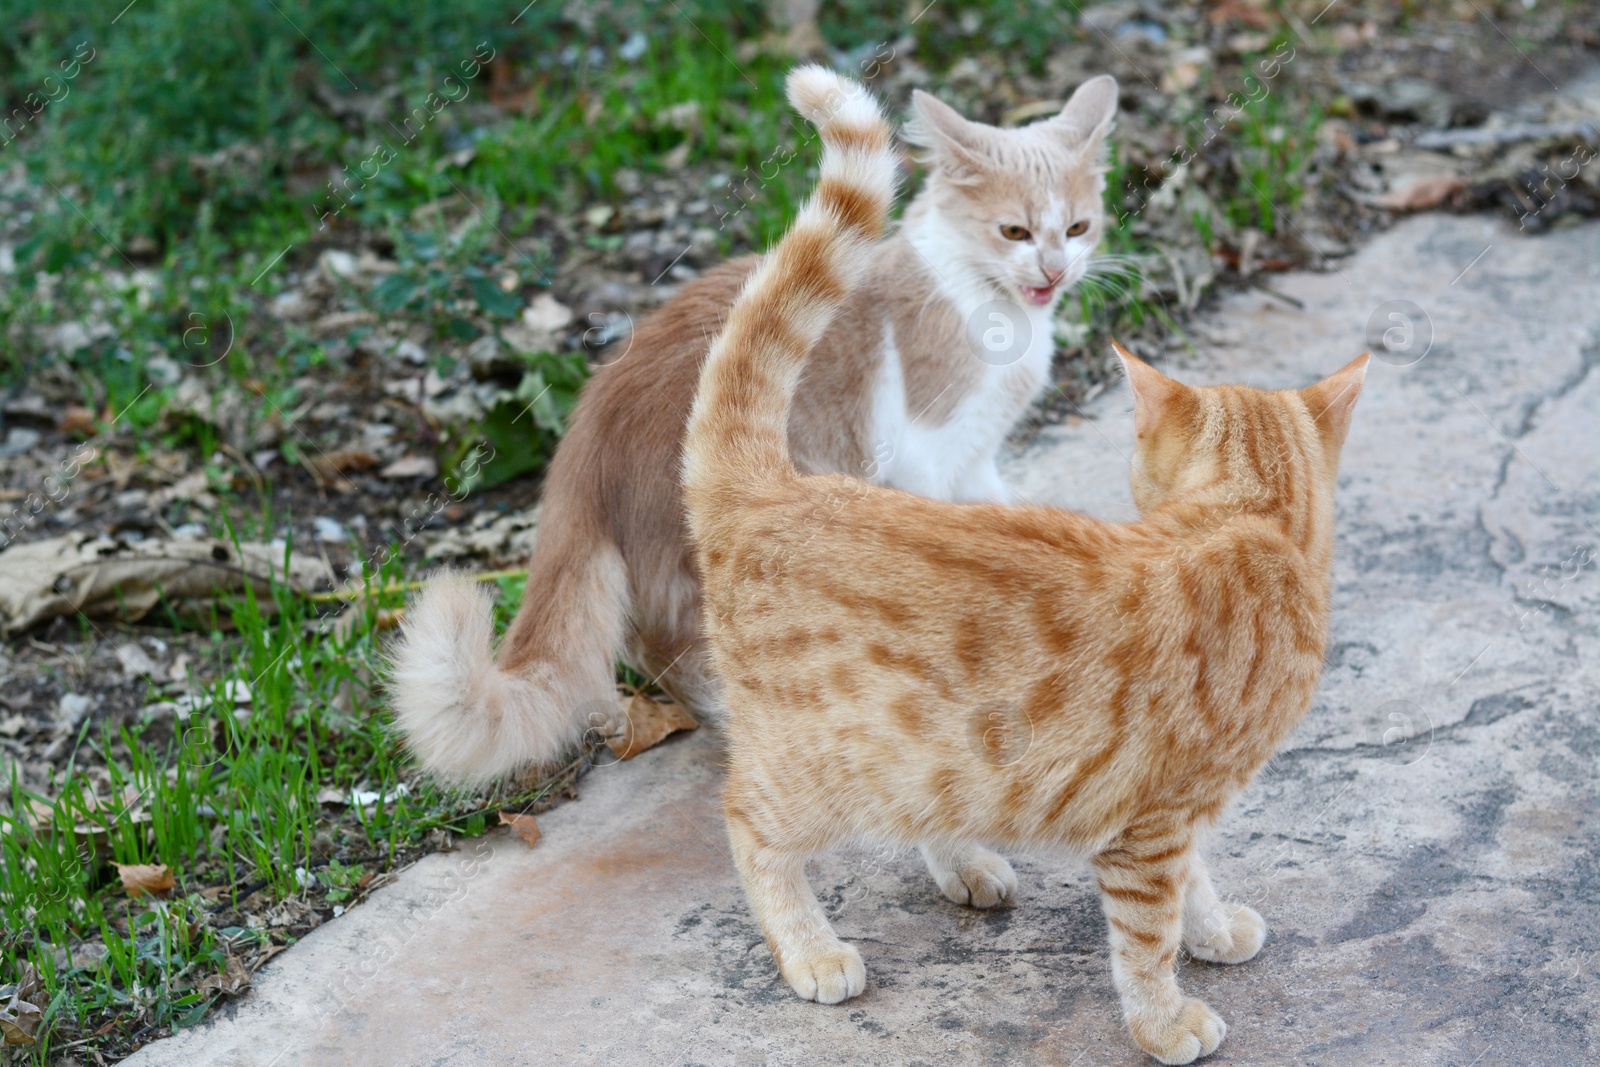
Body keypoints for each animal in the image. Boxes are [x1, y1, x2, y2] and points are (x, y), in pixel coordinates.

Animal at [395, 66, 1126, 783]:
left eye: (1079, 227)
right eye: (1015, 233)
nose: (1055, 269)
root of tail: (585, 437)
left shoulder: (977, 457)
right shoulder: (926, 449)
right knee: (680, 647)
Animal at [681, 70, 1369, 1062]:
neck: (1250, 525)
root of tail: (775, 486)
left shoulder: (1177, 813)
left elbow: (1196, 882)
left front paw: (1212, 927)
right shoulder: (1151, 824)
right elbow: (1147, 935)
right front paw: (1164, 1019)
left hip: (923, 761)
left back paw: (964, 863)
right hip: (820, 764)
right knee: (747, 822)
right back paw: (810, 947)